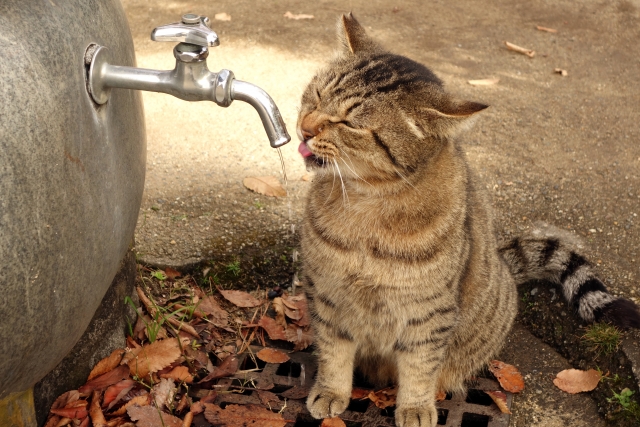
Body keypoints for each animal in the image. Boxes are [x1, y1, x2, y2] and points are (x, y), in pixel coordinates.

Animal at [296, 12, 640, 427]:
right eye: (316, 95)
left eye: (350, 124)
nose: (304, 128)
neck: (368, 202)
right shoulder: (327, 294)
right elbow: (334, 352)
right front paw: (331, 392)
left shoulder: (429, 313)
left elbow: (419, 367)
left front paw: (415, 408)